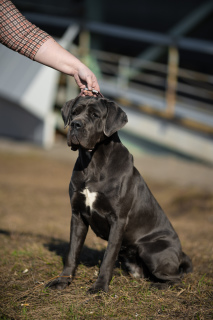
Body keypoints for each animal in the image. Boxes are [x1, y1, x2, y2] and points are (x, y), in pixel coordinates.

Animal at [48, 95, 193, 292]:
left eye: (95, 115)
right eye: (74, 112)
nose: (76, 124)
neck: (93, 163)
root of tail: (181, 254)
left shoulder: (118, 220)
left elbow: (108, 257)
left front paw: (100, 287)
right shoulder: (77, 215)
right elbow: (72, 252)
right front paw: (62, 281)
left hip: (152, 250)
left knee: (177, 279)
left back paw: (157, 286)